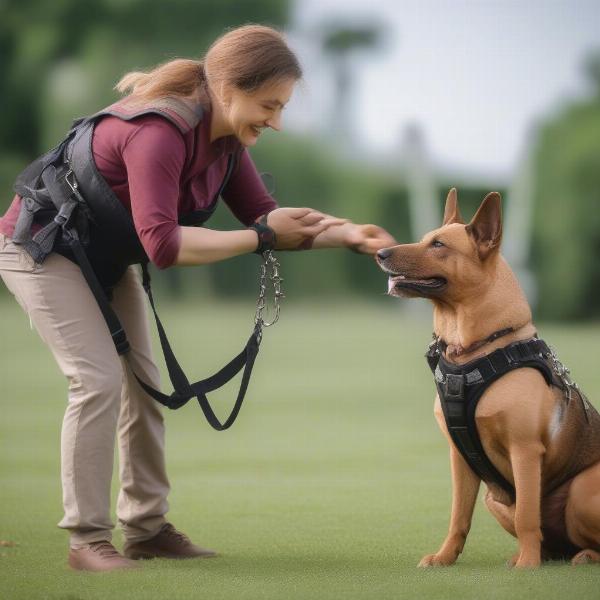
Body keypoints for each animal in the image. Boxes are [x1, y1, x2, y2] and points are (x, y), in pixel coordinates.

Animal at [376, 189, 600, 568]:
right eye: (424, 239)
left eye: (438, 244)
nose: (380, 253)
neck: (472, 352)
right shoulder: (460, 457)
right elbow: (458, 517)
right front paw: (444, 557)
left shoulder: (525, 450)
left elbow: (527, 515)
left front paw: (527, 565)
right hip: (495, 498)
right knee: (552, 544)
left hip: (583, 489)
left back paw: (573, 555)